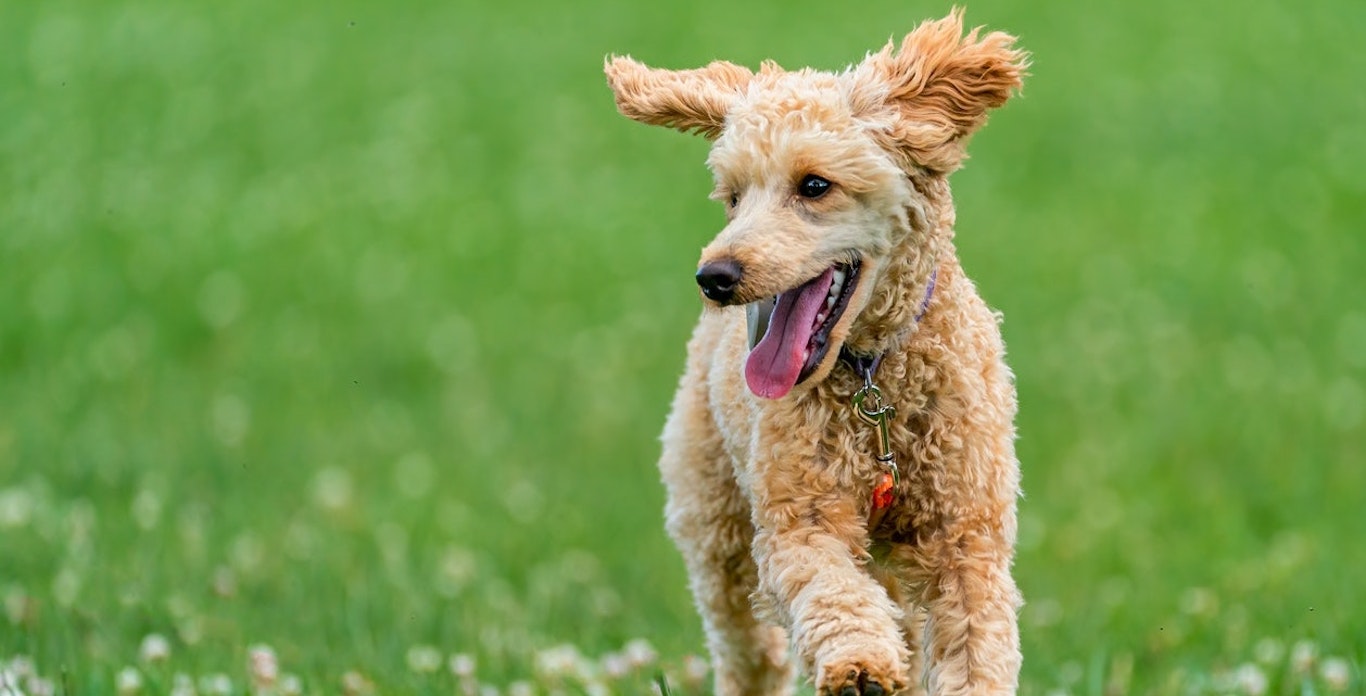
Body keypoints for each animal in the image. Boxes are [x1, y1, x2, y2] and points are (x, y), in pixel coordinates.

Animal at [603, 10, 1027, 696]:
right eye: (733, 197)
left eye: (815, 185)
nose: (714, 277)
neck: (873, 383)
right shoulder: (801, 517)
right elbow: (830, 590)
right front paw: (860, 664)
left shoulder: (965, 536)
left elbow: (974, 643)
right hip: (715, 521)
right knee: (749, 649)